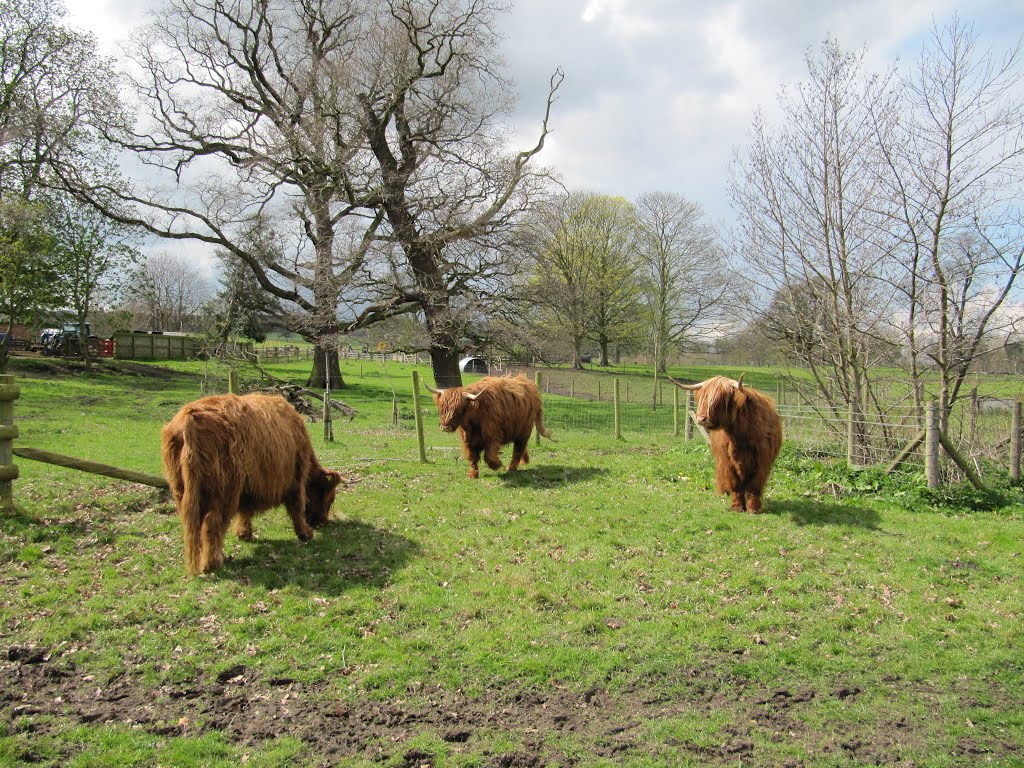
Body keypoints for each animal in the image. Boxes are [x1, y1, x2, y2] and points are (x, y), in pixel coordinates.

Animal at [160, 393, 344, 573]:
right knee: (212, 523)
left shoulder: (247, 487)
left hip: (182, 491)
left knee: (193, 525)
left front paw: (244, 534)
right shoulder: (296, 479)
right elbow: (297, 507)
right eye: (329, 498)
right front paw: (305, 533)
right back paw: (213, 563)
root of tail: (190, 417)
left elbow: (245, 511)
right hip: (224, 491)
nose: (322, 522)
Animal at [423, 374, 552, 481]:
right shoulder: (468, 440)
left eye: (460, 410)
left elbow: (489, 456)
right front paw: (473, 474)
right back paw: (524, 461)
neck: (473, 422)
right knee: (521, 448)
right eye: (442, 409)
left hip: (524, 430)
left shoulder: (492, 436)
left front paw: (497, 464)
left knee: (518, 448)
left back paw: (511, 468)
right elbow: (473, 457)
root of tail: (529, 384)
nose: (445, 426)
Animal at [671, 374, 782, 514]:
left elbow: (754, 486)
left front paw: (753, 509)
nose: (701, 419)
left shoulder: (762, 462)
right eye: (703, 397)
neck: (740, 436)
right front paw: (737, 507)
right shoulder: (727, 462)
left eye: (719, 400)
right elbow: (735, 484)